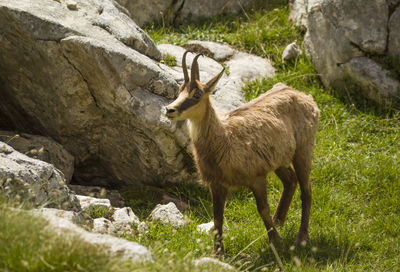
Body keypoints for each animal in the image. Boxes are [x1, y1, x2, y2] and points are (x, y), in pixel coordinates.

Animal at [165, 51, 318, 255]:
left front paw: (275, 241)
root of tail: (305, 97)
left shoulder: (257, 177)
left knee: (306, 189)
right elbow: (218, 217)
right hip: (279, 160)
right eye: (179, 90)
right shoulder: (216, 183)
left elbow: (262, 209)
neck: (224, 140)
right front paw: (218, 253)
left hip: (303, 150)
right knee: (290, 180)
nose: (169, 109)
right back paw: (279, 220)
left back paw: (301, 237)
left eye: (197, 94)